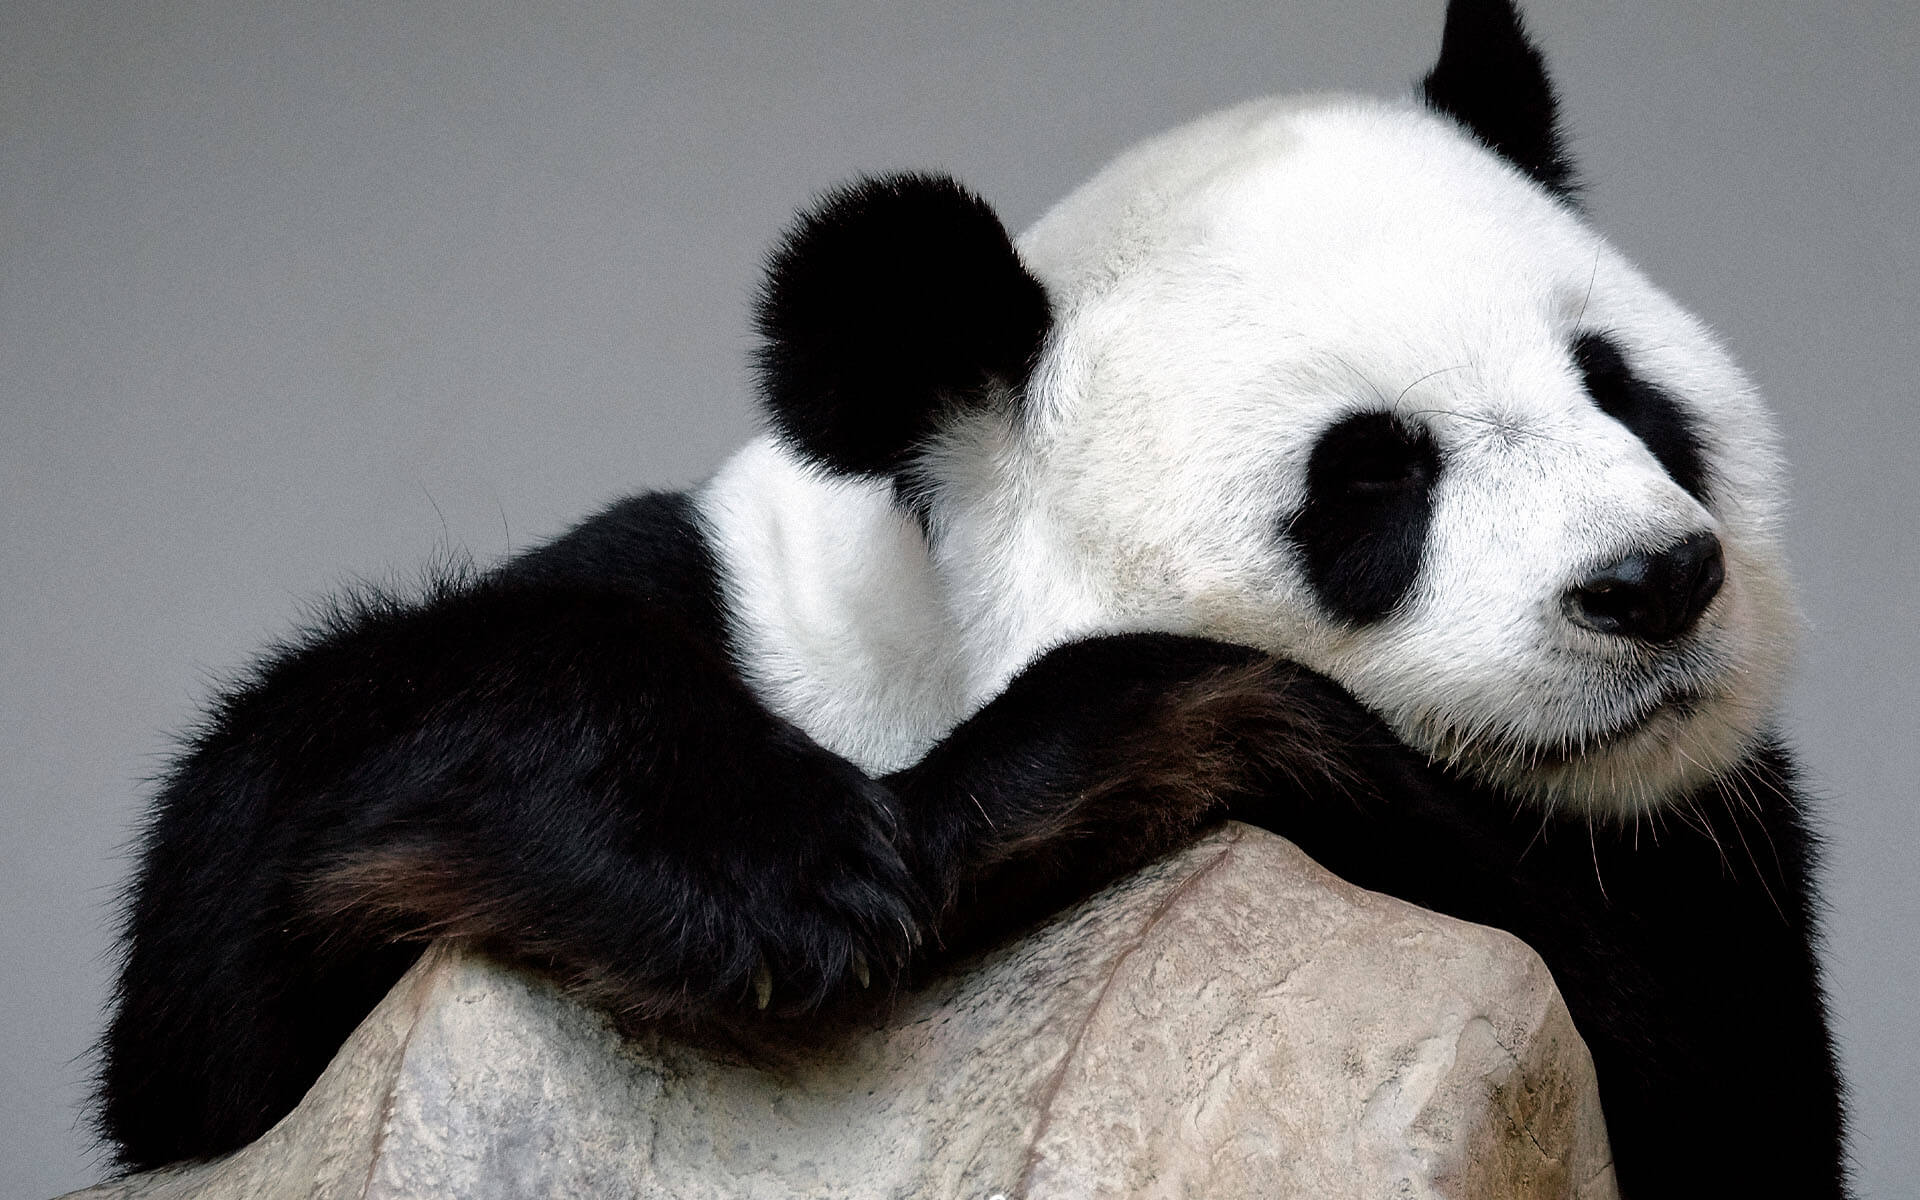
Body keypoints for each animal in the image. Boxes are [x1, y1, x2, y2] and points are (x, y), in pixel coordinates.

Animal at [96, 0, 1847, 1196]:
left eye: (1623, 391)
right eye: (1368, 481)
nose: (1653, 583)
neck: (923, 683)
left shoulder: (1712, 856)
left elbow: (1707, 1079)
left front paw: (1066, 766)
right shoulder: (717, 597)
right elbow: (218, 945)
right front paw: (774, 880)